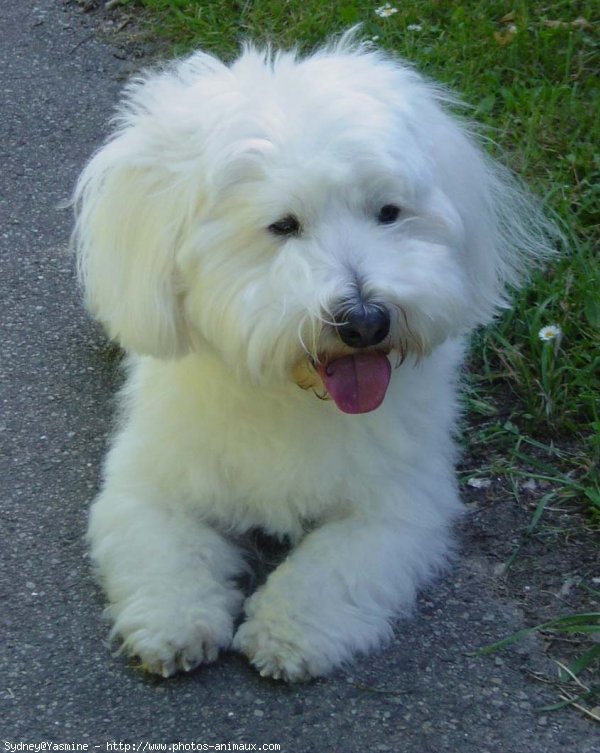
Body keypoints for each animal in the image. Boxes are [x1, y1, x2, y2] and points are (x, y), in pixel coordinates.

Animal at [72, 33, 556, 680]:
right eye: (282, 225)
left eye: (388, 212)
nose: (366, 321)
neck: (291, 393)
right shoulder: (149, 480)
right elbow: (165, 548)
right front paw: (175, 620)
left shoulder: (399, 504)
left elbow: (334, 567)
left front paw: (289, 630)